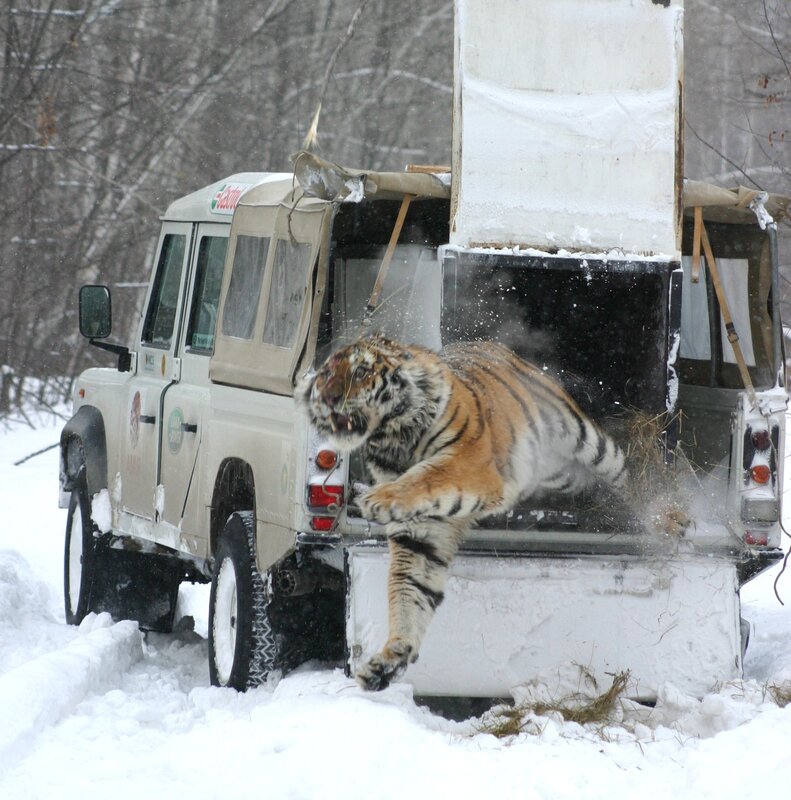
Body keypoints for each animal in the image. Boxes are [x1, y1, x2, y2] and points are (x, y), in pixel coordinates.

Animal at [296, 336, 627, 691]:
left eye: (360, 372)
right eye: (325, 373)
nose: (329, 397)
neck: (393, 440)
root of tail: (495, 346)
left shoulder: (466, 463)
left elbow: (425, 475)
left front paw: (377, 498)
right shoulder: (421, 534)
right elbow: (409, 590)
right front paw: (389, 660)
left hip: (584, 440)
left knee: (623, 467)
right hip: (558, 471)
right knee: (584, 480)